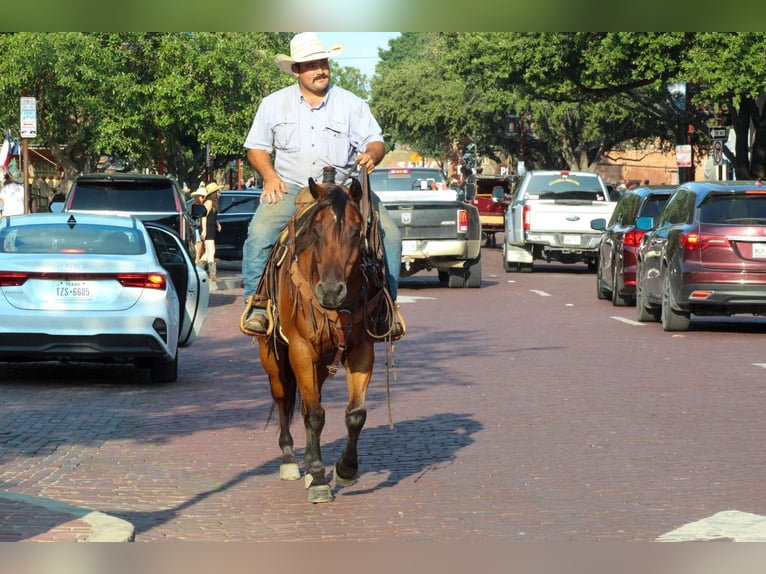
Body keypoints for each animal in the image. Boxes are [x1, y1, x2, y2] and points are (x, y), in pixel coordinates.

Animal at [255, 174, 395, 503]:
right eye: (316, 230)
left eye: (357, 231)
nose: (331, 291)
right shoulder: (301, 351)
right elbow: (315, 415)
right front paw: (319, 477)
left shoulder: (361, 351)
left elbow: (355, 414)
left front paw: (345, 469)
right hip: (273, 357)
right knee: (284, 399)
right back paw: (290, 460)